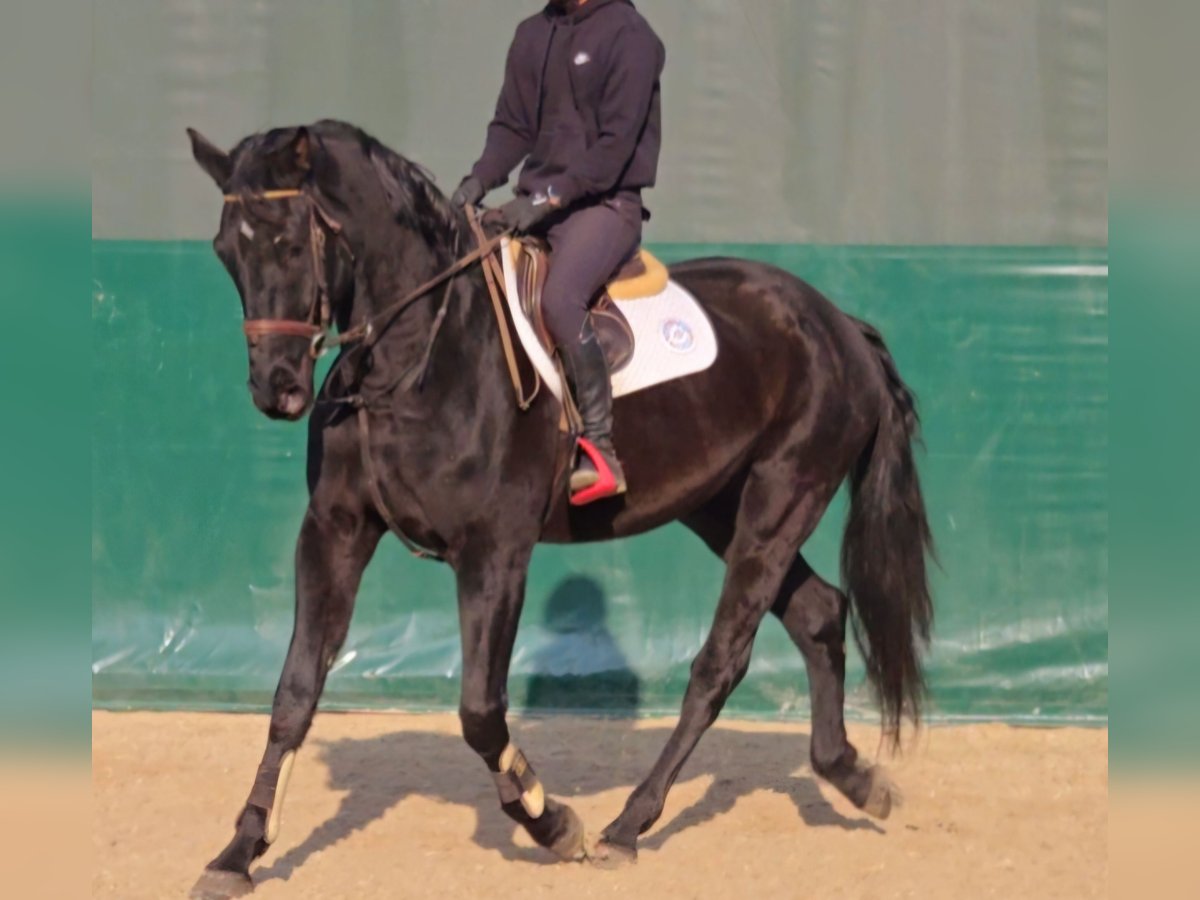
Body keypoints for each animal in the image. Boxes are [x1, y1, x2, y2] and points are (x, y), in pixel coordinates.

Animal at [187, 121, 931, 900]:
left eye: (288, 244)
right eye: (225, 250)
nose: (276, 389)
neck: (413, 358)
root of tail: (836, 321)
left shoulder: (494, 551)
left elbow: (480, 712)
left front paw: (553, 823)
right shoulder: (334, 533)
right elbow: (294, 693)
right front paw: (238, 852)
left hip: (782, 499)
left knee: (720, 662)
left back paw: (627, 825)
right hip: (722, 508)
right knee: (817, 612)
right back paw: (854, 777)